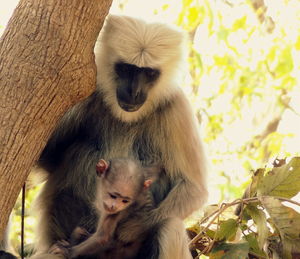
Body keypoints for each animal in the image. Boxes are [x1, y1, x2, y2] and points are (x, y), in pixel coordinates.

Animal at [31, 14, 209, 259]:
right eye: (126, 69)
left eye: (148, 73)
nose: (134, 92)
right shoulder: (91, 92)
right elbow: (43, 160)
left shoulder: (175, 107)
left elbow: (193, 188)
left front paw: (127, 229)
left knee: (169, 225)